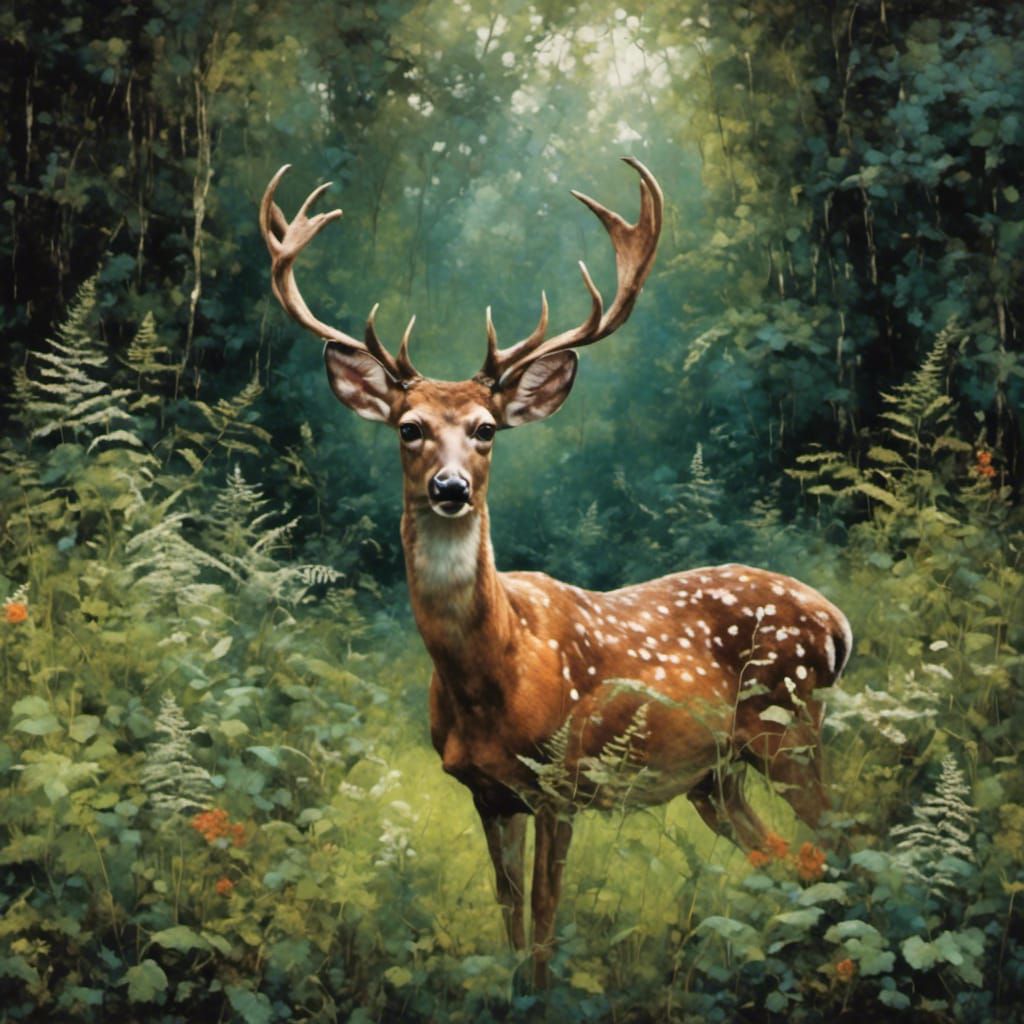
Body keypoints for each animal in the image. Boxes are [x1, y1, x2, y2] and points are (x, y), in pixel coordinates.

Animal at [259, 159, 853, 985]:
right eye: (409, 429)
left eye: (485, 430)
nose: (450, 488)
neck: (495, 675)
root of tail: (837, 622)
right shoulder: (487, 793)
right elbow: (510, 920)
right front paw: (514, 991)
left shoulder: (561, 779)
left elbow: (544, 922)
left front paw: (542, 992)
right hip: (714, 775)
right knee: (789, 856)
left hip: (788, 721)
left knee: (843, 841)